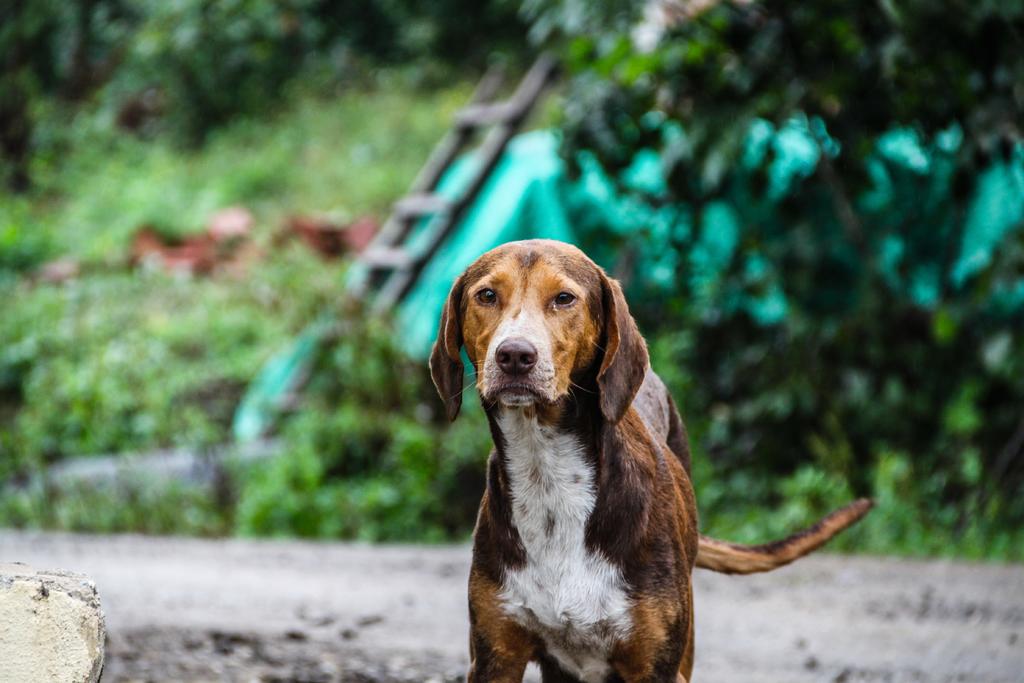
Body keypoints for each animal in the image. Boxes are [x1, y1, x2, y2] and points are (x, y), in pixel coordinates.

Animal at [428, 237, 868, 679]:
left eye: (564, 298)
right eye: (487, 295)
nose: (515, 355)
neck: (547, 472)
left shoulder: (656, 665)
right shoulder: (495, 657)